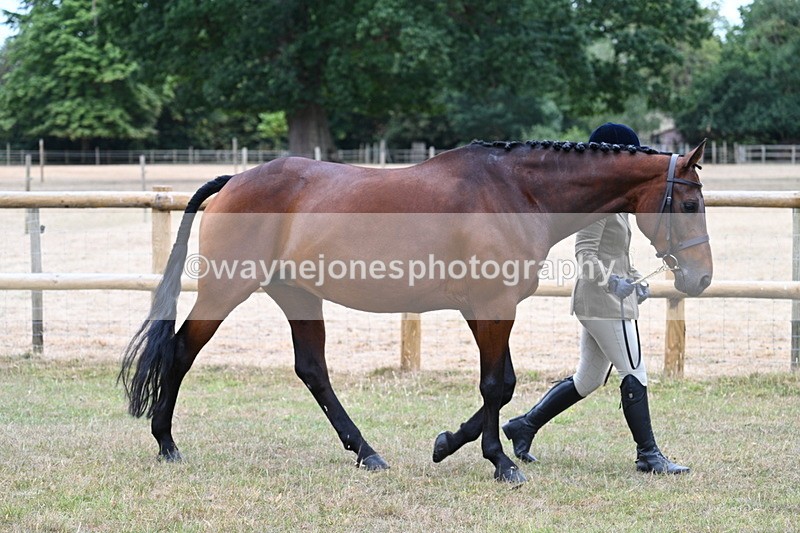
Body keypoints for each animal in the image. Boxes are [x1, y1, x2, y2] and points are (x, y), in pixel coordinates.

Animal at [119, 139, 712, 483]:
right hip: (226, 290)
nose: (700, 278)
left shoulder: (486, 311)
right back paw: (166, 444)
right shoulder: (491, 308)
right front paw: (498, 461)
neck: (514, 191)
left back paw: (367, 452)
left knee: (313, 371)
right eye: (688, 203)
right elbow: (497, 384)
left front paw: (450, 444)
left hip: (299, 296)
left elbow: (502, 385)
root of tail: (235, 180)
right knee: (180, 351)